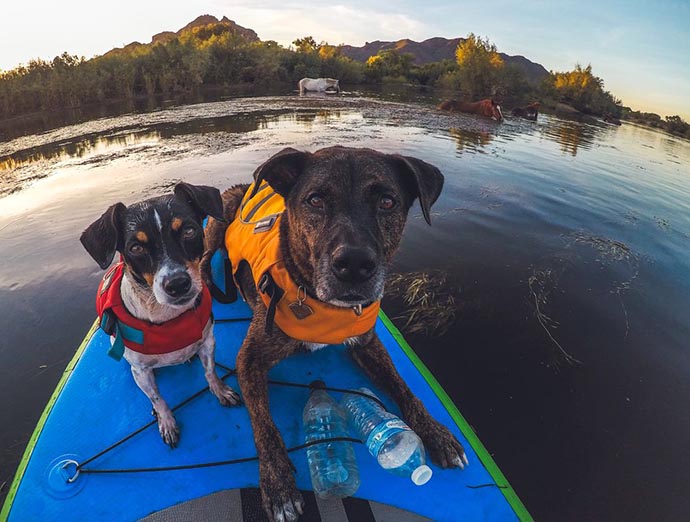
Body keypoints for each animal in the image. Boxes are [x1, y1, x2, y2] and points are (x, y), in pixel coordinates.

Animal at [79, 182, 236, 442]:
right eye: (135, 247)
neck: (168, 317)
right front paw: (167, 421)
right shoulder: (141, 372)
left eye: (189, 231)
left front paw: (220, 390)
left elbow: (211, 371)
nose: (177, 284)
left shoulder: (208, 342)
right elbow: (158, 398)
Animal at [202, 145, 464, 520]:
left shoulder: (367, 345)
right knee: (206, 258)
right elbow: (264, 425)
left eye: (387, 202)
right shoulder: (249, 359)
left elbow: (405, 389)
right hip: (219, 218)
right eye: (315, 199)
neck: (319, 302)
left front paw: (436, 432)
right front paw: (278, 482)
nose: (354, 265)